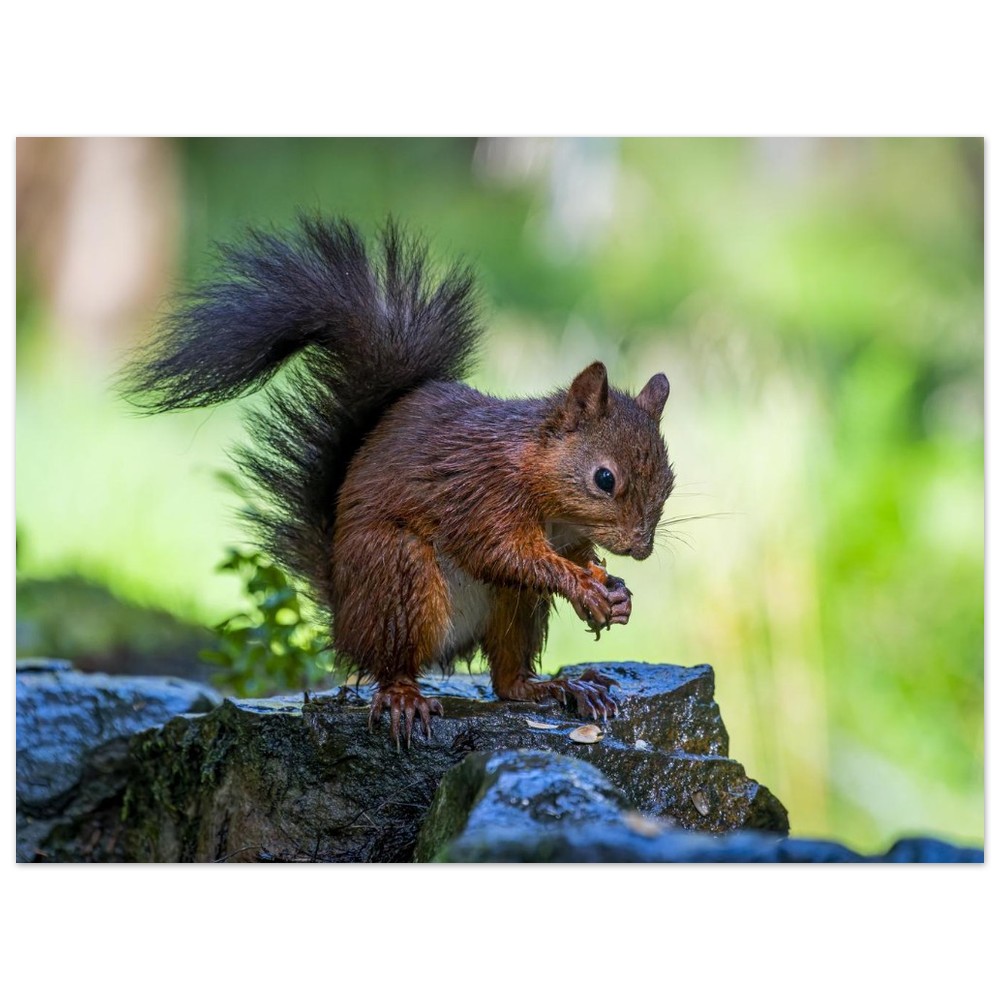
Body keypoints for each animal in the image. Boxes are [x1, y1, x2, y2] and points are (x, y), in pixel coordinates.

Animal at [122, 216, 675, 747]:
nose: (641, 548)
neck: (542, 484)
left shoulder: (565, 533)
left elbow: (571, 556)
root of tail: (344, 618)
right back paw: (405, 697)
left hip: (513, 606)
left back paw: (558, 686)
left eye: (669, 481)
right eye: (604, 478)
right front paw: (583, 586)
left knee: (507, 679)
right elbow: (504, 553)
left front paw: (615, 591)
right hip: (397, 576)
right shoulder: (481, 495)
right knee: (392, 664)